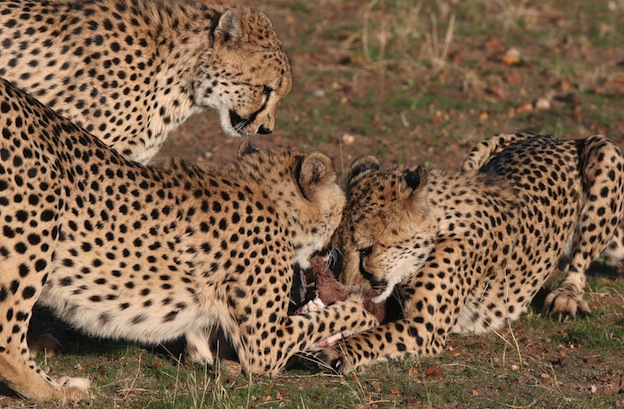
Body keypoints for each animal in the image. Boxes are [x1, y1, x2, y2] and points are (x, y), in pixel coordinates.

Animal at [0, 78, 378, 400]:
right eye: (341, 210)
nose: (332, 253)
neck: (268, 196)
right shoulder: (266, 344)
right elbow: (325, 319)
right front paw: (363, 312)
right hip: (36, 225)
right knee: (7, 340)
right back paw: (60, 391)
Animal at [320, 132, 620, 372]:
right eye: (339, 249)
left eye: (366, 249)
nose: (346, 288)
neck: (437, 226)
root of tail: (556, 138)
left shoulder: (424, 326)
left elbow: (375, 337)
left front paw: (339, 350)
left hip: (605, 151)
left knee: (579, 264)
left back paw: (566, 297)